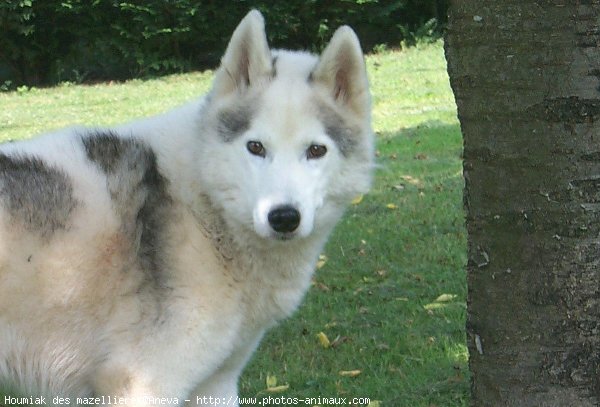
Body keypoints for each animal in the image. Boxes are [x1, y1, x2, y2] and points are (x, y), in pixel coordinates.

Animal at [0, 10, 372, 407]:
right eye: (255, 147)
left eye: (316, 150)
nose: (284, 217)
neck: (206, 211)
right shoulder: (144, 385)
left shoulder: (218, 384)